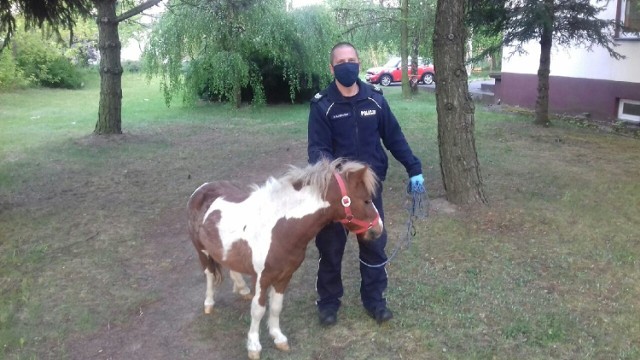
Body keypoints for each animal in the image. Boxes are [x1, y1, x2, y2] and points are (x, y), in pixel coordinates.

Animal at [188, 159, 382, 360]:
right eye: (366, 200)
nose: (378, 229)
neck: (281, 228)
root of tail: (202, 189)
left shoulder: (284, 276)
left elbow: (276, 307)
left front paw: (278, 338)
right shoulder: (261, 278)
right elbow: (258, 310)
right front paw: (254, 346)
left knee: (230, 265)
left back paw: (242, 289)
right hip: (202, 251)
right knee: (209, 274)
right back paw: (209, 303)